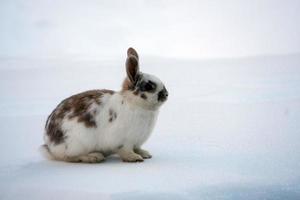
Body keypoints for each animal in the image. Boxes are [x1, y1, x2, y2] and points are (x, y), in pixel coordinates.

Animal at [40, 47, 169, 163]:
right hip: (77, 144)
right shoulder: (123, 141)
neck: (134, 103)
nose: (166, 94)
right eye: (149, 86)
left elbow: (137, 148)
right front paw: (134, 158)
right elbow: (125, 150)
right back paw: (94, 157)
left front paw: (145, 154)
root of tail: (49, 145)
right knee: (70, 157)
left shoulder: (137, 141)